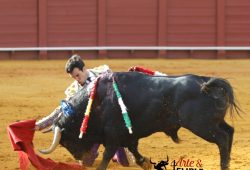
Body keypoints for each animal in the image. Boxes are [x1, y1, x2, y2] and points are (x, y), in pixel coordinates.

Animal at [40, 72, 240, 170]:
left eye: (66, 142)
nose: (82, 160)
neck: (97, 100)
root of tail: (206, 82)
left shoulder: (113, 135)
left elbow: (107, 155)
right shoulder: (128, 135)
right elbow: (134, 150)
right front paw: (145, 163)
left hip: (202, 126)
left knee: (222, 138)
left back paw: (223, 166)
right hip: (212, 123)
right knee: (229, 132)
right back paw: (228, 163)